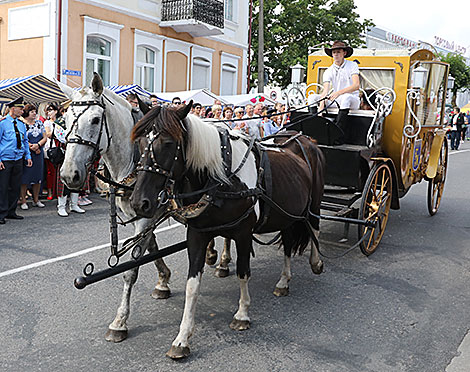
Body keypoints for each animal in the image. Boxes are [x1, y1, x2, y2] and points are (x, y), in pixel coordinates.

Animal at [130, 103, 324, 358]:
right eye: (140, 142)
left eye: (169, 143)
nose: (139, 203)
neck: (221, 177)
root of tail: (305, 139)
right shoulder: (197, 234)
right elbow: (192, 284)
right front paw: (182, 338)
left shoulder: (243, 233)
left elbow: (243, 272)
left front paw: (242, 314)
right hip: (288, 214)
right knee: (289, 243)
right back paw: (283, 281)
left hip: (314, 204)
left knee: (315, 228)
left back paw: (316, 262)